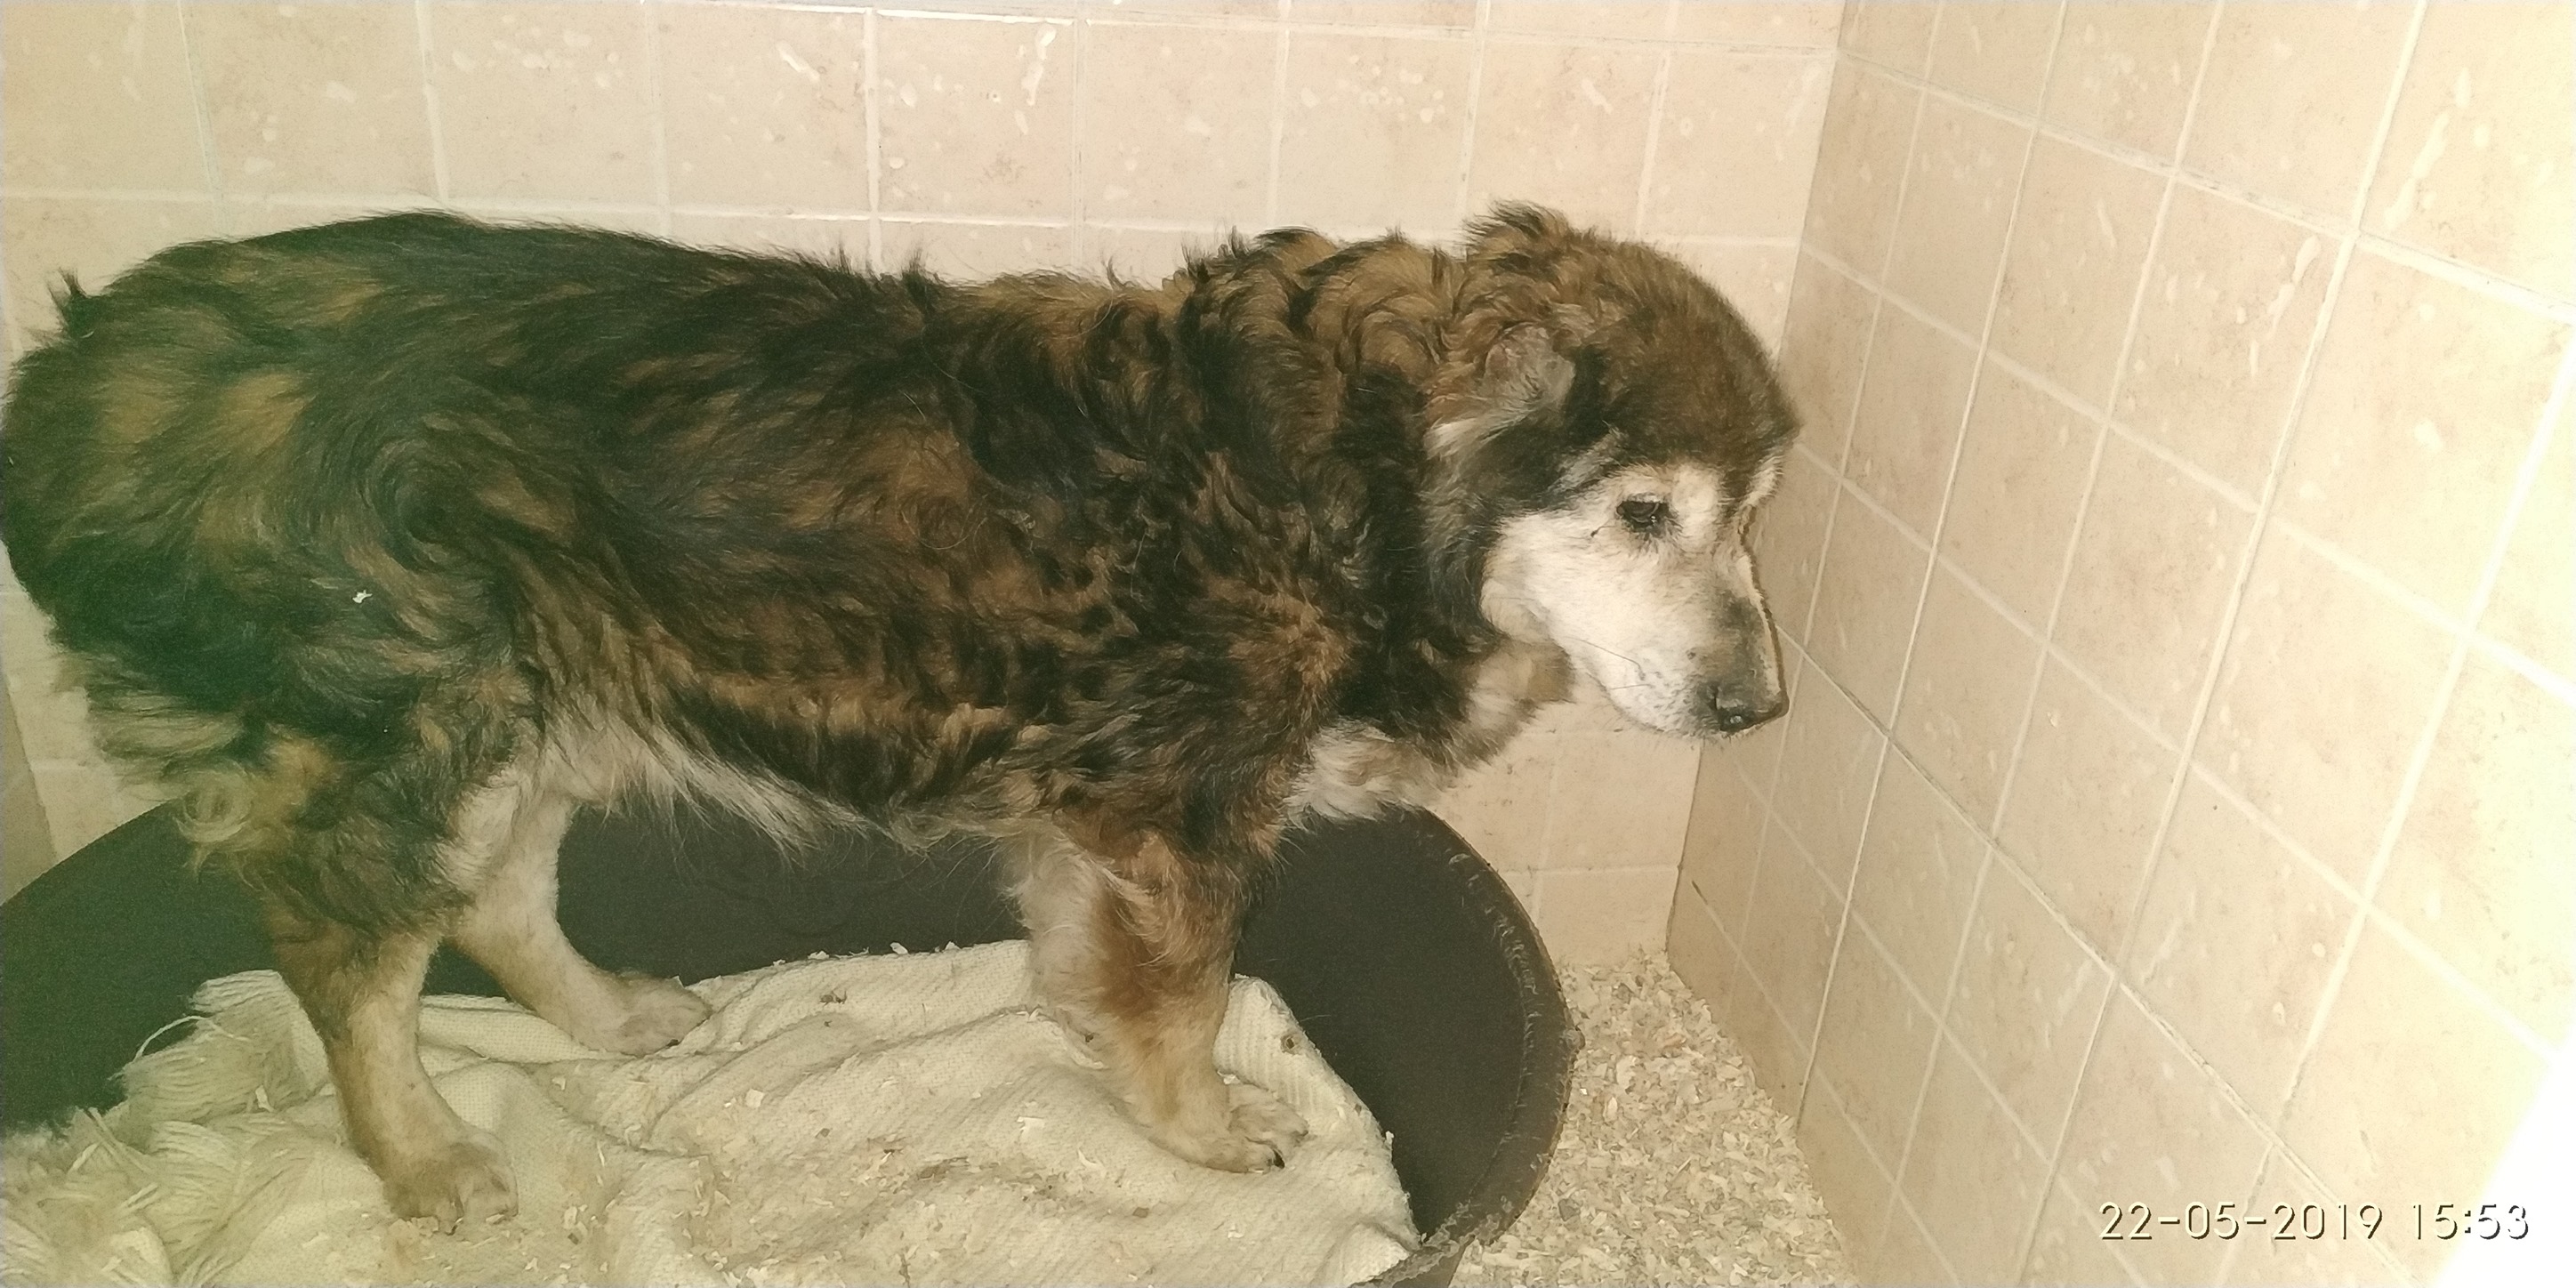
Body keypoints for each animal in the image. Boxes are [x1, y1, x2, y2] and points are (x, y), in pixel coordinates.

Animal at [0, 205, 1795, 1228]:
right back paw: (423, 1159)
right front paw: (1202, 1133)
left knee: (499, 902)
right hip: (410, 728)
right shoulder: (1185, 807)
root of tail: (73, 386)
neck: (1356, 481)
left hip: (540, 704)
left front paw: (1090, 1041)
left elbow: (1091, 960)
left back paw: (608, 1018)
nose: (1757, 702)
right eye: (1642, 512)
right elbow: (1185, 999)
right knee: (346, 971)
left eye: (1749, 513)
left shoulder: (1106, 805)